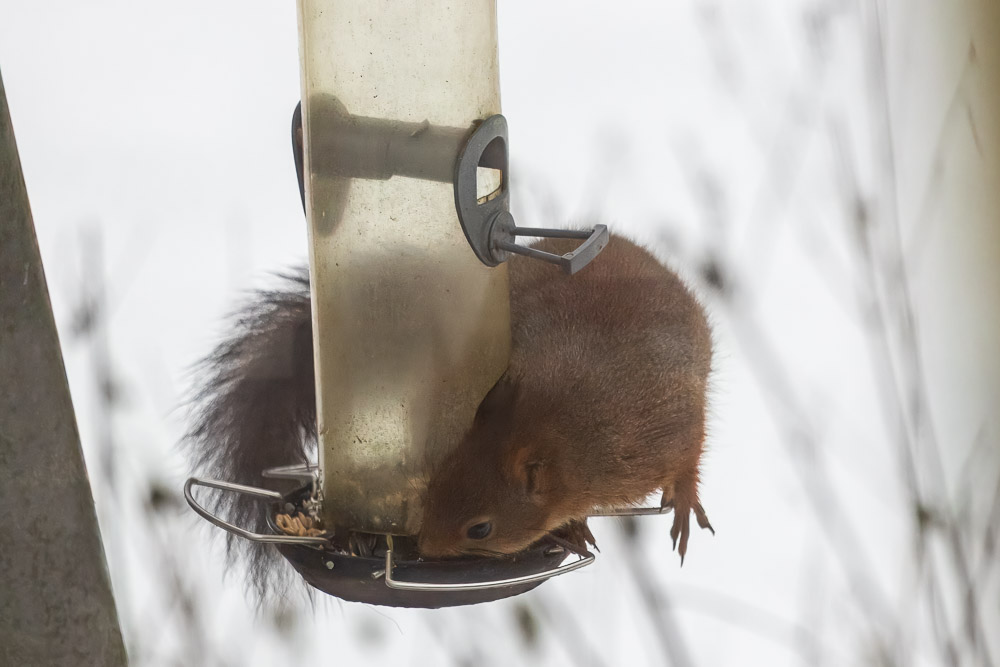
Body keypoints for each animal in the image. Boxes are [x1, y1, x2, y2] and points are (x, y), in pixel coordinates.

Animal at [188, 234, 716, 596]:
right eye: (436, 481)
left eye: (480, 529)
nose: (426, 550)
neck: (555, 421)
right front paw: (571, 529)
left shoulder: (663, 430)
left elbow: (689, 459)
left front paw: (685, 501)